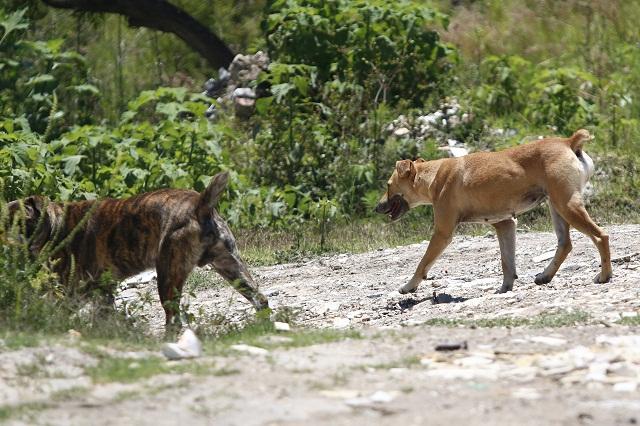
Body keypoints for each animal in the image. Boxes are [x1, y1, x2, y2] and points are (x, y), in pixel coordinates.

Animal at [7, 170, 268, 326]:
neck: (55, 225)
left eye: (9, 220)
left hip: (168, 276)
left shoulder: (67, 292)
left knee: (173, 319)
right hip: (233, 269)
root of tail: (199, 204)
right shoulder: (101, 292)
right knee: (261, 299)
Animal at [378, 130, 612, 294]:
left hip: (567, 205)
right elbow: (507, 262)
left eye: (388, 185)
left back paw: (605, 274)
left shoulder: (443, 233)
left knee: (601, 236)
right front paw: (505, 288)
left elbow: (422, 263)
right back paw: (545, 276)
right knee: (565, 244)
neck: (434, 175)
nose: (376, 207)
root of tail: (568, 142)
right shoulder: (505, 225)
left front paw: (409, 286)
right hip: (557, 207)